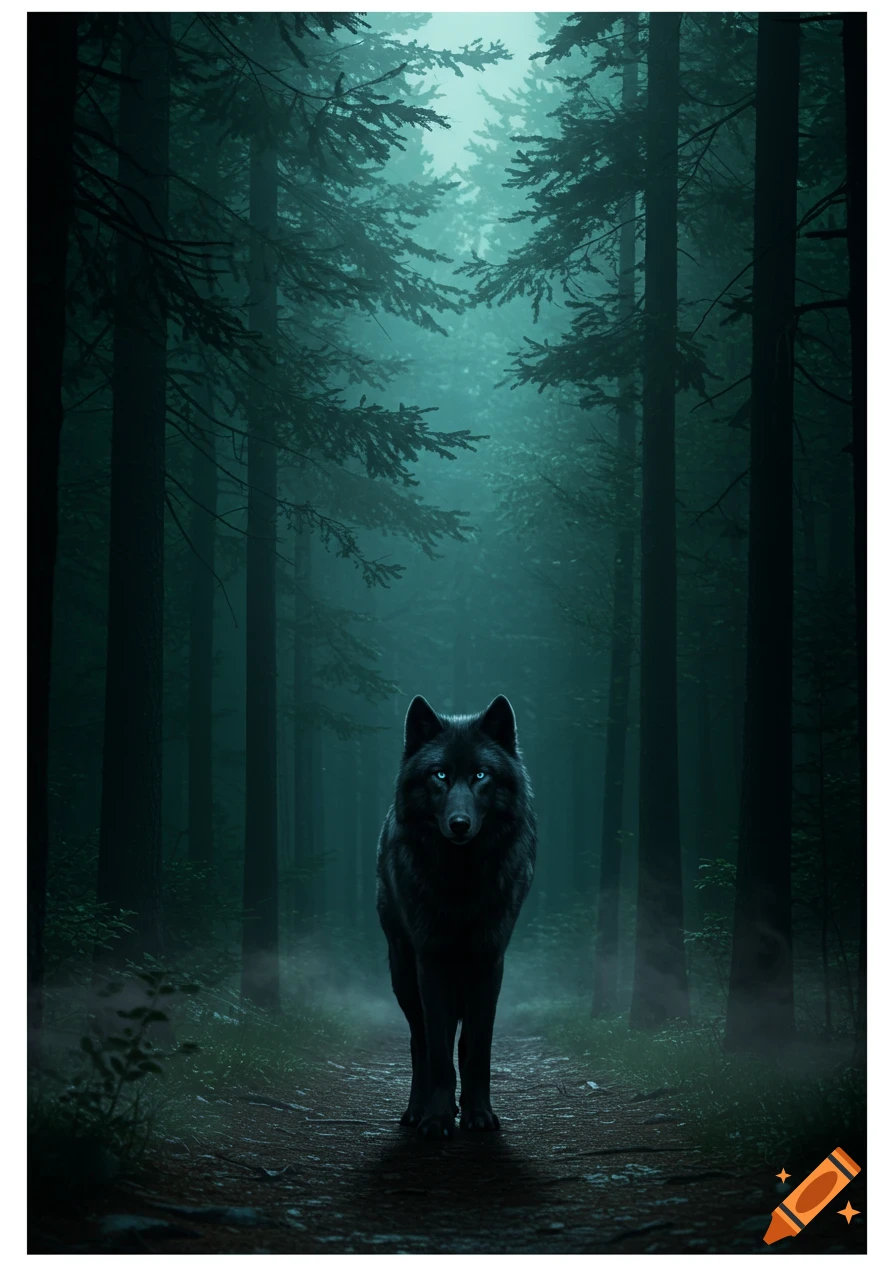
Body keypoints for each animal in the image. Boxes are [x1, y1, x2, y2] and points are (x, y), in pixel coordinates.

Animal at [376, 694, 536, 1139]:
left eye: (481, 775)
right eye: (440, 775)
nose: (460, 824)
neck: (462, 881)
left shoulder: (489, 960)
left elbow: (477, 1049)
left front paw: (478, 1114)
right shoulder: (430, 961)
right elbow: (438, 1051)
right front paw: (436, 1118)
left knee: (462, 1045)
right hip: (403, 973)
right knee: (421, 1044)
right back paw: (416, 1111)